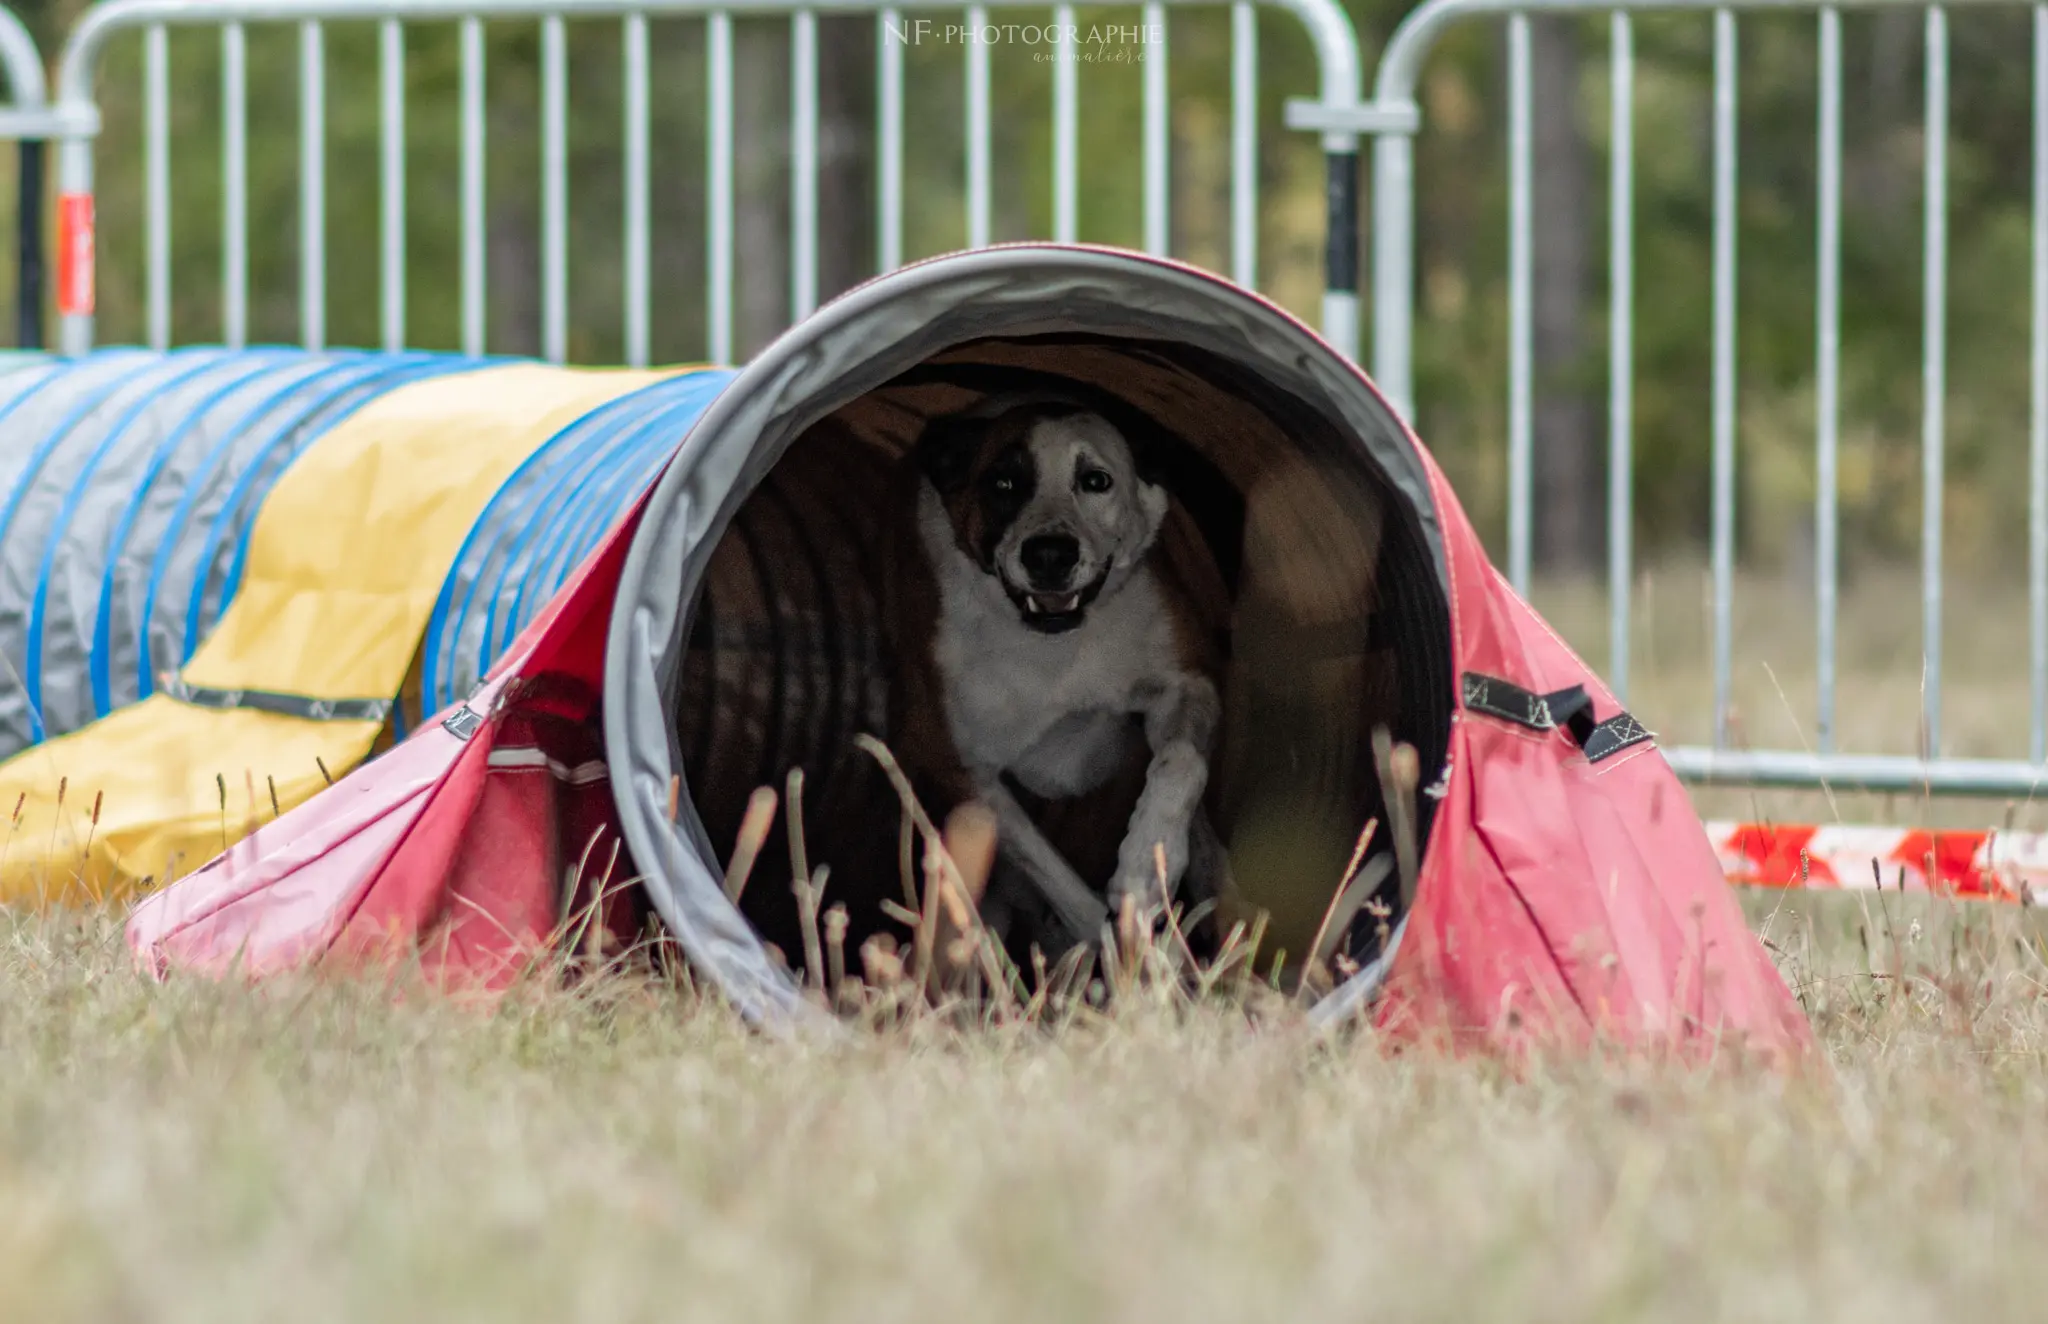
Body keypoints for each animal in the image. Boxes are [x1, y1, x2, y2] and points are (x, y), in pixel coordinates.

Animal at [872, 389, 1220, 959]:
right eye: (1003, 484)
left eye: (1096, 480)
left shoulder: (1185, 681)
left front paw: (1148, 865)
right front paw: (1112, 946)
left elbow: (1181, 762)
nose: (1050, 554)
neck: (1053, 646)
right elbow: (1051, 874)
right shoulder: (955, 761)